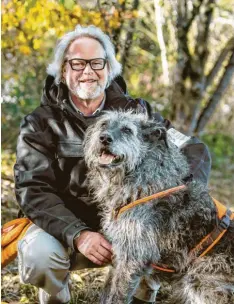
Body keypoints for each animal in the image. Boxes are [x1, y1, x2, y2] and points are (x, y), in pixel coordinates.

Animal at [83, 111, 233, 304]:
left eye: (127, 130)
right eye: (103, 124)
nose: (104, 138)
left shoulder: (131, 260)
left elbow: (117, 296)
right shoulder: (119, 253)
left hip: (199, 282)